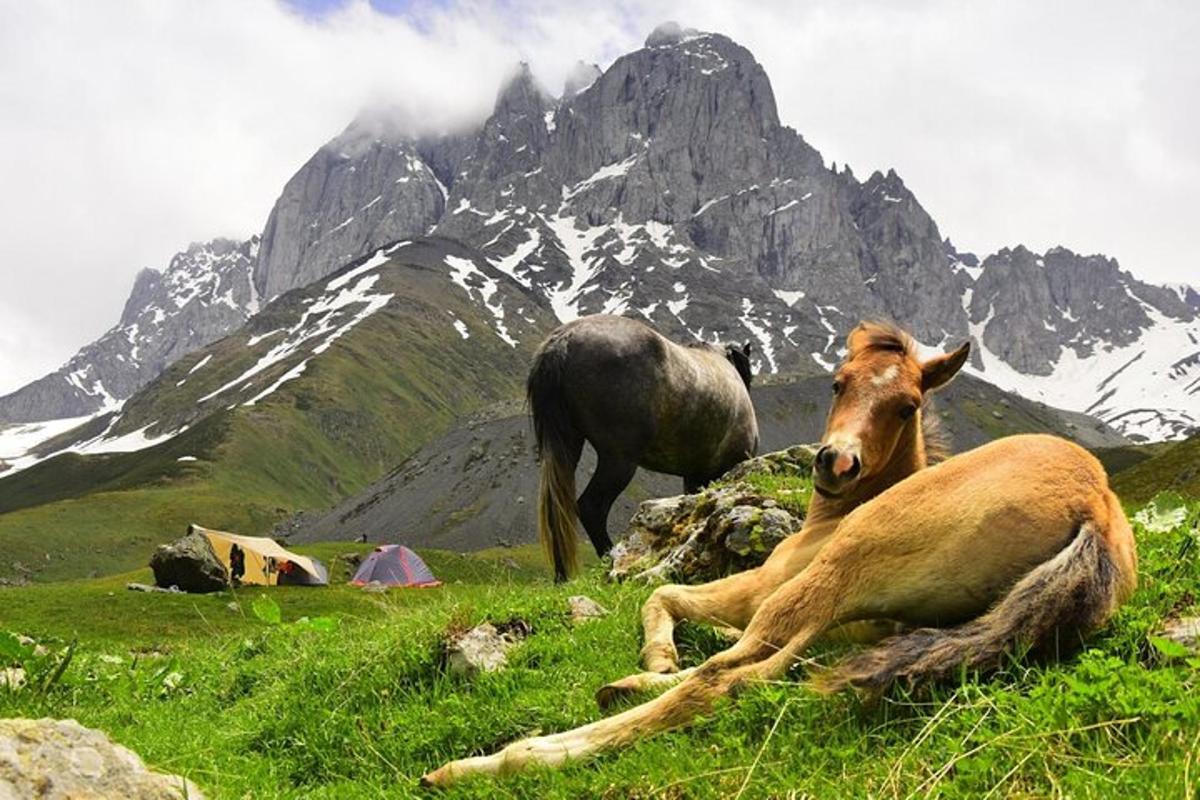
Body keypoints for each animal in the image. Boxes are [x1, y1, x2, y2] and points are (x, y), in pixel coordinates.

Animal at [528, 314, 753, 582]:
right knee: (591, 507)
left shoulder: (693, 476)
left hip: (567, 447)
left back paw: (562, 577)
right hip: (618, 460)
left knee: (558, 509)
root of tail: (564, 340)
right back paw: (610, 560)